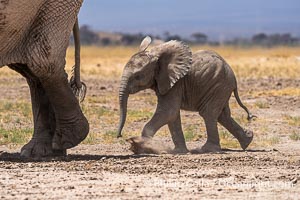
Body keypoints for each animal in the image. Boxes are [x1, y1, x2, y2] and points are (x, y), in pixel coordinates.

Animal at [116, 36, 253, 154]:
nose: (119, 135)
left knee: (208, 114)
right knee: (222, 115)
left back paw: (204, 150)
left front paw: (140, 146)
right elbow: (172, 115)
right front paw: (179, 151)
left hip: (218, 86)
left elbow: (168, 112)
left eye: (138, 76)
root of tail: (234, 78)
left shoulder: (175, 84)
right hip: (220, 88)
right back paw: (247, 141)